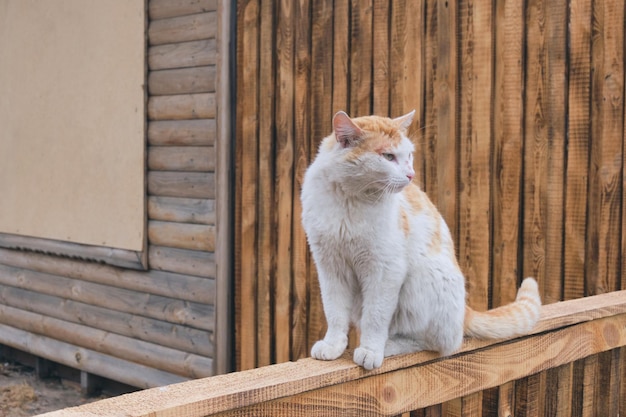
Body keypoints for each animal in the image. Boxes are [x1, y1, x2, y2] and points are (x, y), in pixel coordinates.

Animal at [300, 111, 540, 370]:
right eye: (388, 156)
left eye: (409, 156)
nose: (410, 175)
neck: (350, 200)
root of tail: (465, 312)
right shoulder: (330, 268)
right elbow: (334, 311)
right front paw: (333, 345)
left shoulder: (385, 270)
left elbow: (376, 316)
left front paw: (371, 350)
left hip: (424, 278)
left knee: (439, 343)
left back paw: (389, 345)